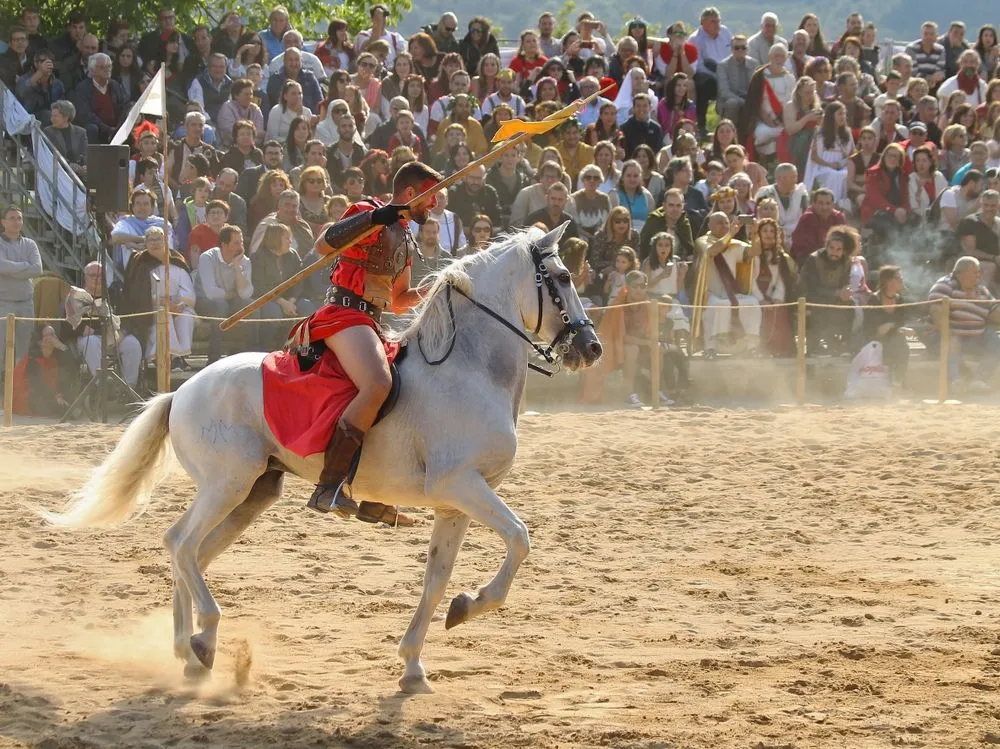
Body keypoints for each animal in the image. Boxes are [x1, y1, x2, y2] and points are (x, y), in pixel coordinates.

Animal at [42, 223, 603, 694]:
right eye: (562, 277)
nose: (591, 348)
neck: (469, 368)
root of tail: (182, 390)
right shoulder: (462, 486)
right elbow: (519, 538)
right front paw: (471, 606)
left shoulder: (455, 504)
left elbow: (436, 581)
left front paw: (415, 664)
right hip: (227, 483)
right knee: (181, 544)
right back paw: (203, 640)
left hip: (253, 492)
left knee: (189, 551)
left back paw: (187, 648)